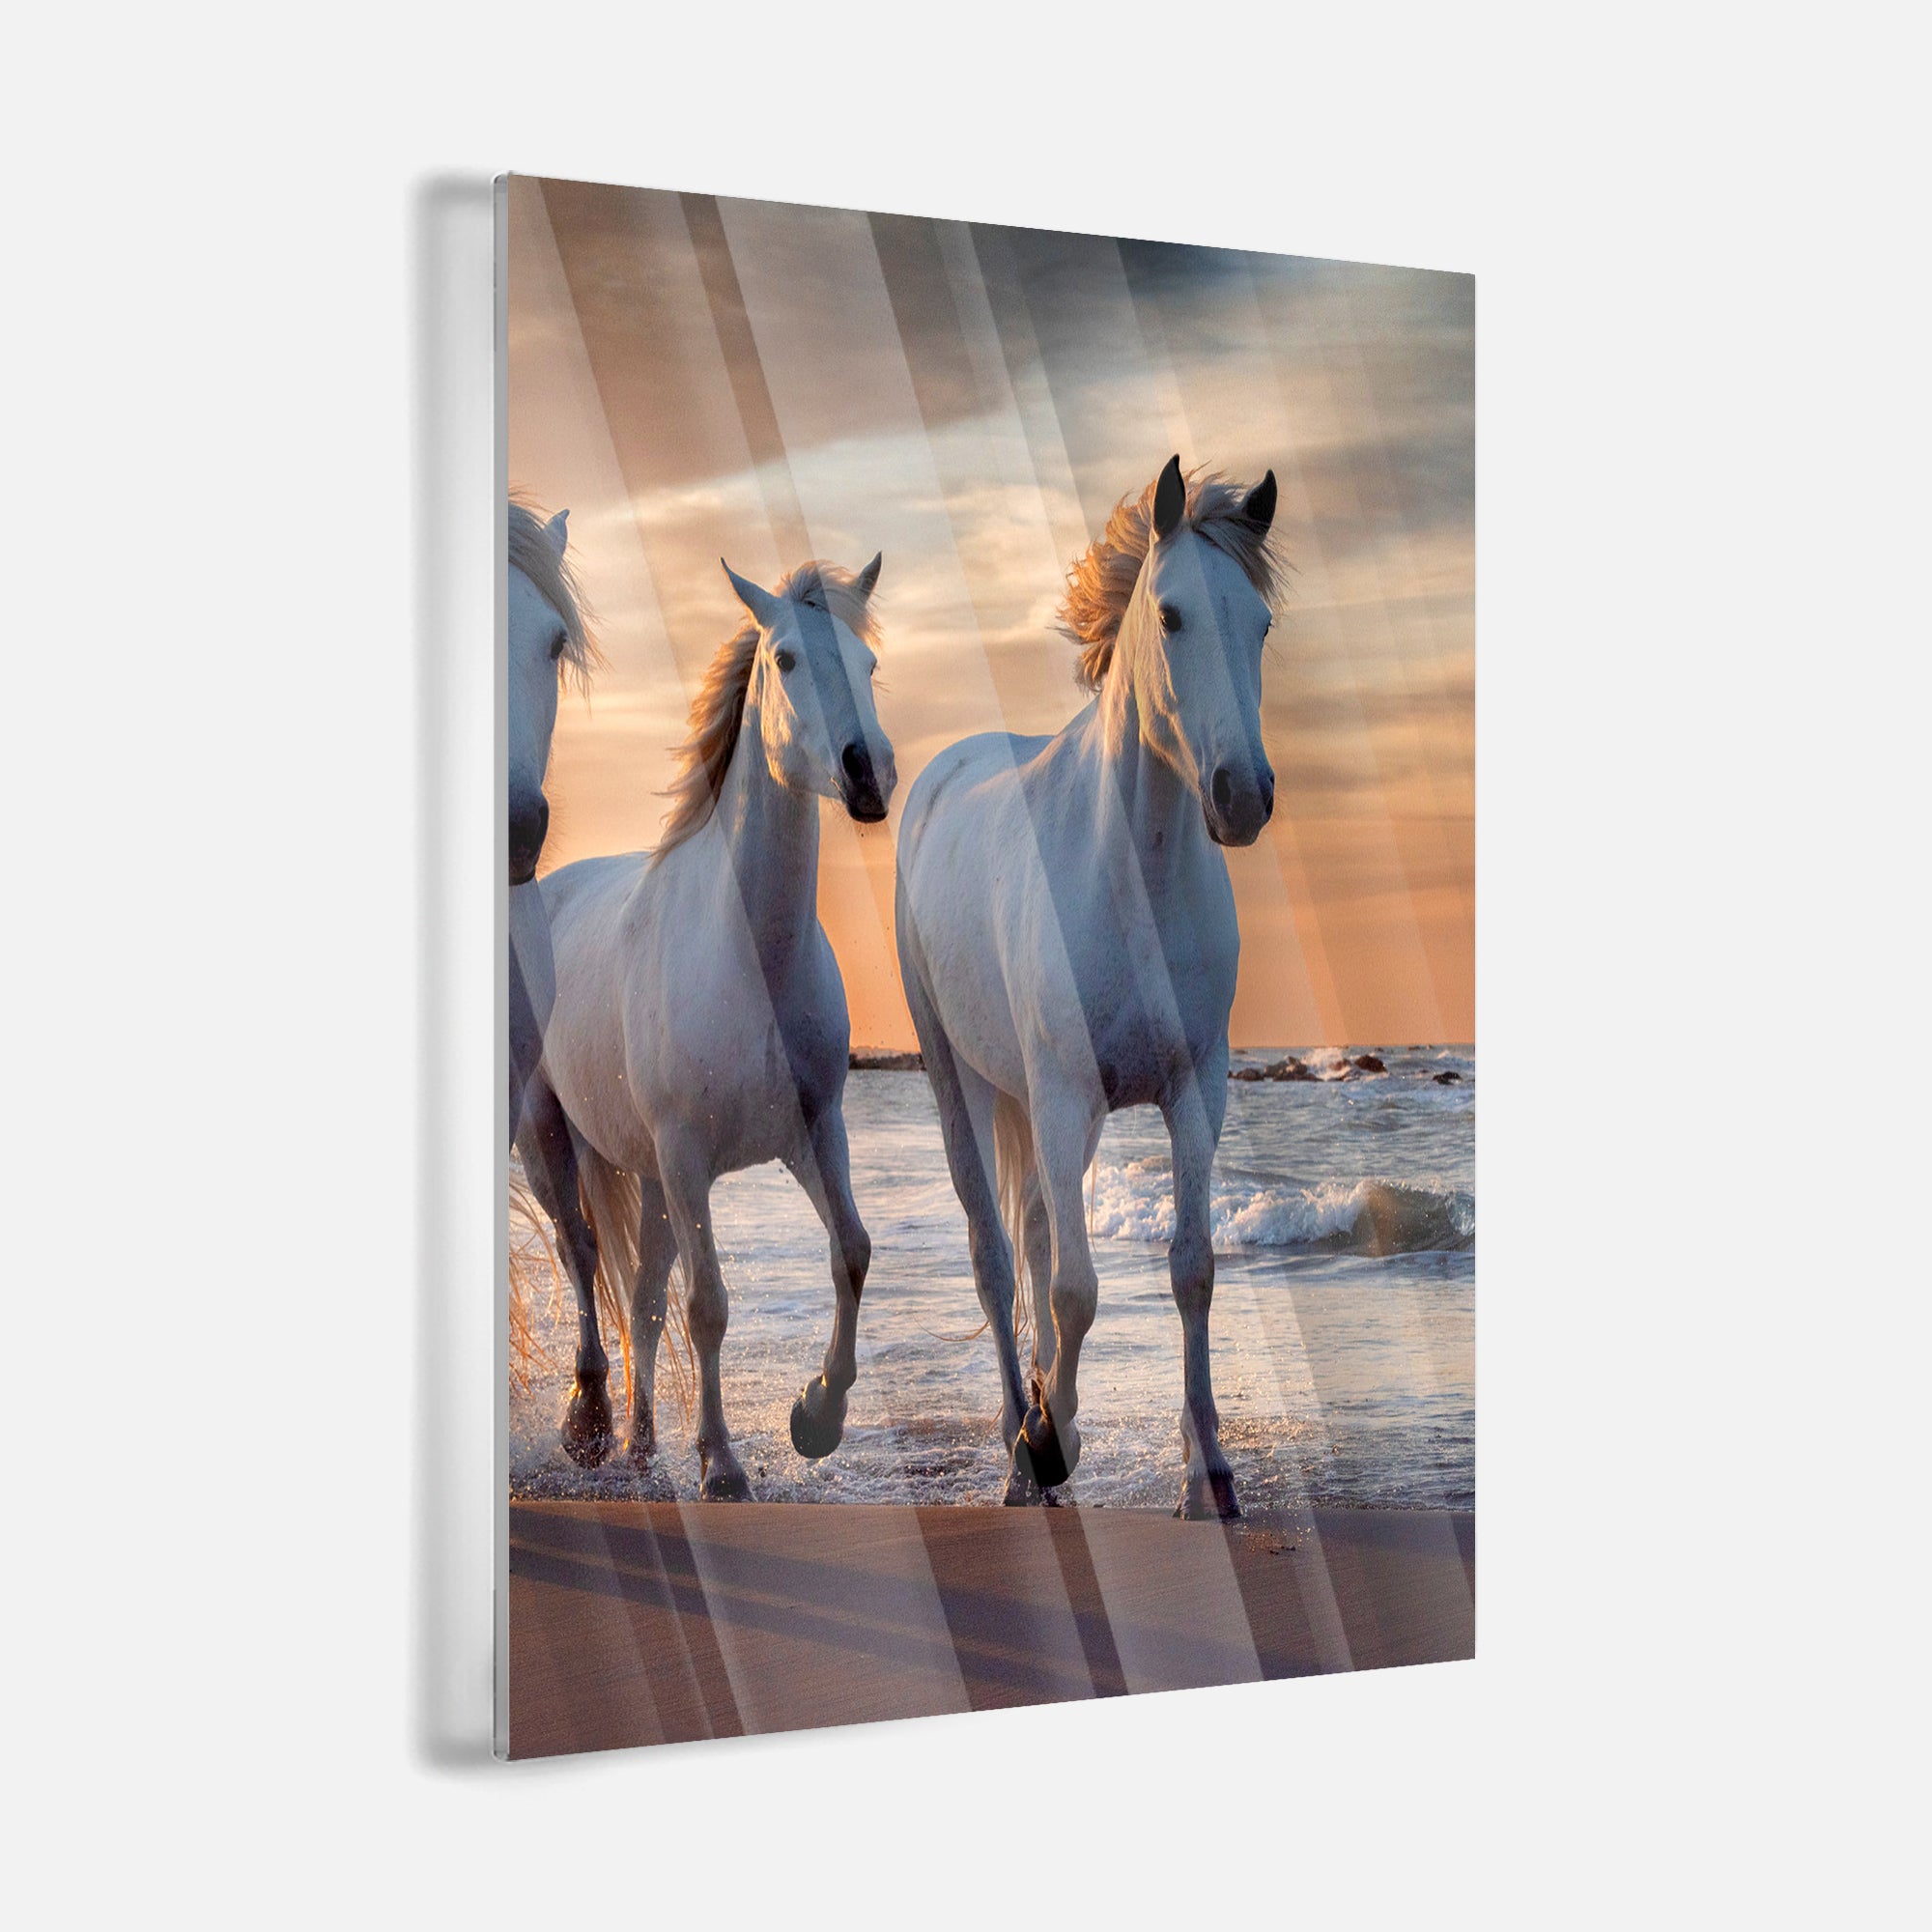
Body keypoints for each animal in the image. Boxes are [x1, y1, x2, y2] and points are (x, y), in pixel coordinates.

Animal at [517, 553, 895, 1494]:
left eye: (870, 664)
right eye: (787, 659)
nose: (867, 773)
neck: (747, 953)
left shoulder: (813, 1131)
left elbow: (852, 1252)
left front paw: (817, 1416)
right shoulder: (688, 1153)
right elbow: (709, 1303)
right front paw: (722, 1463)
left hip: (648, 1177)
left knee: (642, 1297)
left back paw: (644, 1443)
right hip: (551, 1137)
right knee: (586, 1258)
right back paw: (590, 1425)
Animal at [895, 456, 1281, 1520]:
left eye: (1260, 623)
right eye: (1171, 614)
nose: (1242, 797)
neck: (1133, 873)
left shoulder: (1194, 1090)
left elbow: (1191, 1268)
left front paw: (1209, 1473)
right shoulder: (1066, 1094)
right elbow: (1075, 1289)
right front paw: (1049, 1437)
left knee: (1029, 1234)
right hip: (962, 1081)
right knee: (995, 1256)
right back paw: (1015, 1446)